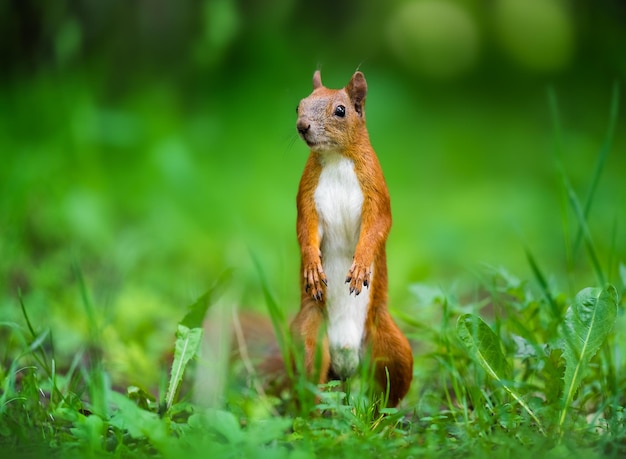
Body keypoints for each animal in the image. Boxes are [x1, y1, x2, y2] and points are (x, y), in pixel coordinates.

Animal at [288, 69, 414, 406]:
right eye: (298, 105)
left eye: (341, 110)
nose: (302, 126)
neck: (335, 159)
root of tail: (345, 365)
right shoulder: (307, 197)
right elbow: (305, 229)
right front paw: (312, 267)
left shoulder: (376, 192)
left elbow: (377, 227)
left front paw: (360, 266)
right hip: (307, 338)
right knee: (309, 383)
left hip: (392, 347)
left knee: (389, 391)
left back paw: (384, 416)